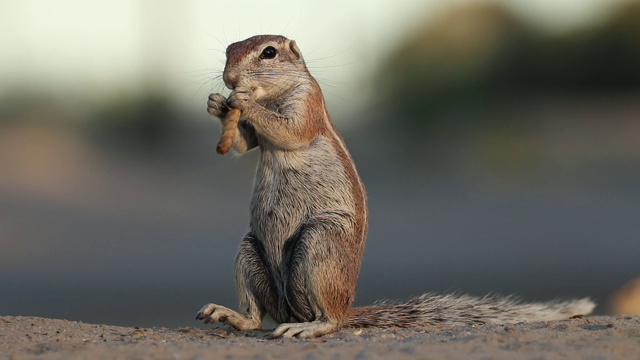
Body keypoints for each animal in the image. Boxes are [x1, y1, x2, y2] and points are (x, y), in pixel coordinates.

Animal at [195, 35, 596, 338]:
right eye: (229, 49)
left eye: (268, 53)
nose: (230, 78)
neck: (273, 94)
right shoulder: (255, 137)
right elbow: (244, 144)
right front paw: (217, 104)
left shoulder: (305, 104)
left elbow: (289, 130)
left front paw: (242, 101)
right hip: (250, 251)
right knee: (256, 317)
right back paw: (231, 315)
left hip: (320, 243)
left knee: (329, 320)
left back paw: (308, 328)